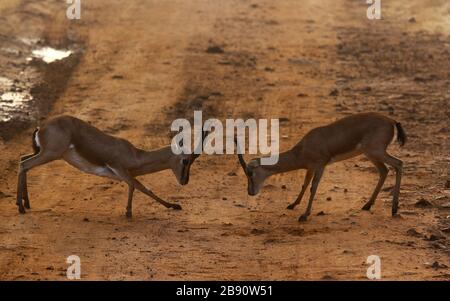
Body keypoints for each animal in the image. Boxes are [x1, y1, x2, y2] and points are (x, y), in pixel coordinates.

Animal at [16, 114, 207, 216]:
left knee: (22, 159)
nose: (184, 181)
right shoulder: (118, 168)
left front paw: (173, 206)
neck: (135, 155)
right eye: (186, 160)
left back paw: (26, 203)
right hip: (50, 154)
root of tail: (41, 128)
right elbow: (139, 187)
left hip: (44, 153)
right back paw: (21, 207)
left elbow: (140, 187)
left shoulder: (126, 173)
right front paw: (129, 212)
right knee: (24, 164)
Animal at [237, 112, 406, 220]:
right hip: (371, 154)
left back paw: (393, 209)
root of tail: (391, 121)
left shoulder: (320, 165)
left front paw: (304, 215)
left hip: (375, 151)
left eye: (250, 173)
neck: (303, 149)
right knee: (384, 171)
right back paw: (367, 205)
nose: (250, 192)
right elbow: (304, 185)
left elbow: (313, 187)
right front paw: (293, 205)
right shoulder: (310, 168)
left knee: (398, 163)